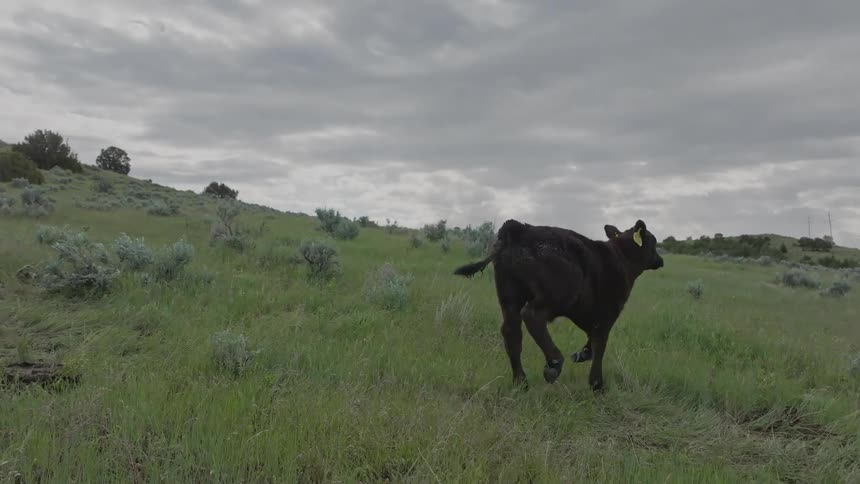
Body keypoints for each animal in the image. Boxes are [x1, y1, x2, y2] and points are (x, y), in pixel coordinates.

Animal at [453, 218, 664, 391]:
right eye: (653, 242)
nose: (660, 260)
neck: (621, 257)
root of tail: (519, 228)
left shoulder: (588, 314)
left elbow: (591, 341)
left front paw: (582, 355)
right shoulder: (607, 314)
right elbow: (600, 345)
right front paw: (597, 384)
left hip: (510, 297)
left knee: (511, 332)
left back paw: (521, 382)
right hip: (552, 297)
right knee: (532, 316)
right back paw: (554, 364)